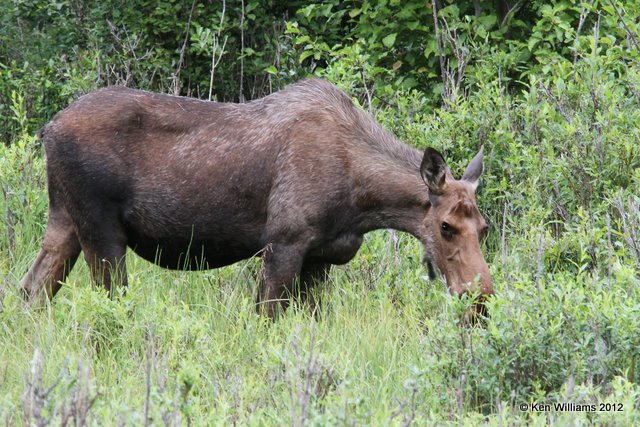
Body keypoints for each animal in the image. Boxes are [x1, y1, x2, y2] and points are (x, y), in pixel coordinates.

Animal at [18, 79, 490, 318]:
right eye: (446, 226)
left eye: (484, 228)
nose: (481, 298)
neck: (363, 201)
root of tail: (47, 130)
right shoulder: (284, 242)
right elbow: (266, 319)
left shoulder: (319, 257)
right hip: (101, 231)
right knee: (107, 304)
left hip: (64, 220)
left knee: (30, 291)